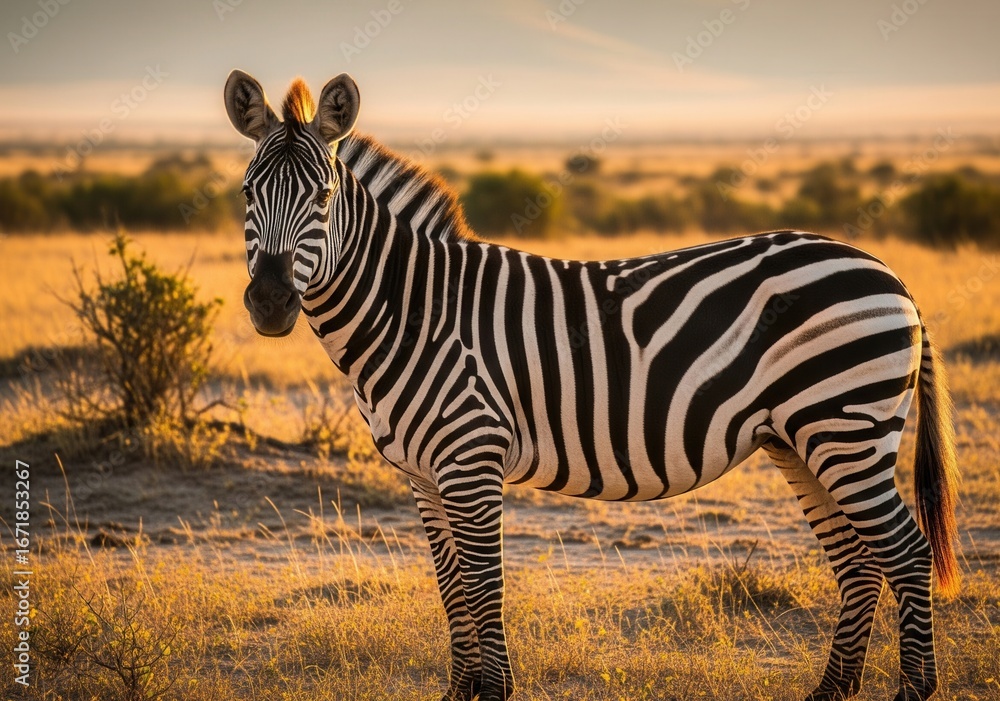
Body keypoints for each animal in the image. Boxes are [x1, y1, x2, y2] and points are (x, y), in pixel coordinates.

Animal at [224, 69, 960, 701]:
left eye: (323, 197)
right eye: (245, 195)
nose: (270, 303)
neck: (414, 311)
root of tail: (887, 272)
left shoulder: (471, 457)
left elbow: (483, 584)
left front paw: (494, 690)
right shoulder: (421, 474)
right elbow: (451, 586)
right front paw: (461, 689)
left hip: (845, 426)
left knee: (904, 550)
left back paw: (913, 688)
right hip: (801, 438)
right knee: (858, 560)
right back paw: (830, 690)